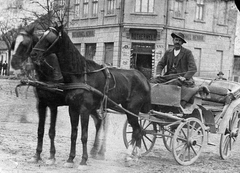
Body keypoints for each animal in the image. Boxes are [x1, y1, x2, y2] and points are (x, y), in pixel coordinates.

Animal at [10, 26, 106, 165]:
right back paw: (94, 150)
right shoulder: (42, 104)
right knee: (98, 121)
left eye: (23, 44)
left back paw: (100, 152)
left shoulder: (53, 105)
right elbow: (40, 130)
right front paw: (37, 155)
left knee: (104, 124)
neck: (50, 74)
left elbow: (51, 131)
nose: (13, 63)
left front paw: (52, 156)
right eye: (13, 43)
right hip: (91, 107)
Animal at [29, 25, 150, 167]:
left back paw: (130, 156)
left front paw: (82, 160)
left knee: (137, 131)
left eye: (49, 39)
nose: (33, 54)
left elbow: (83, 136)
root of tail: (143, 77)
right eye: (40, 37)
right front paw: (70, 159)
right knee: (125, 127)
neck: (80, 74)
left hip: (131, 110)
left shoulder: (81, 109)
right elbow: (72, 134)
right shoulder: (70, 108)